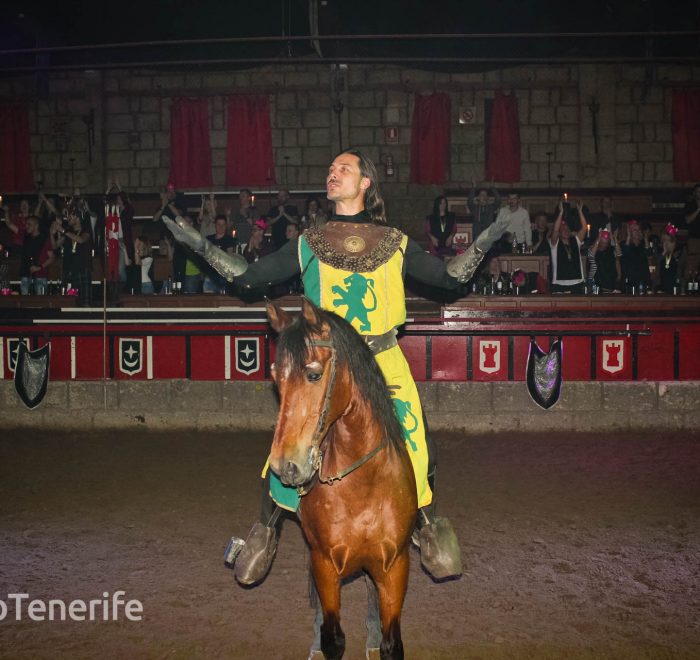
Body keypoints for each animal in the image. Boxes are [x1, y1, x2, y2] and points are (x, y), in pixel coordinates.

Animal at [266, 300, 416, 660]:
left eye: (314, 373)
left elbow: (392, 644)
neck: (362, 488)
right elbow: (332, 638)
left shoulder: (394, 568)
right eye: (276, 378)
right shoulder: (324, 566)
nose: (285, 466)